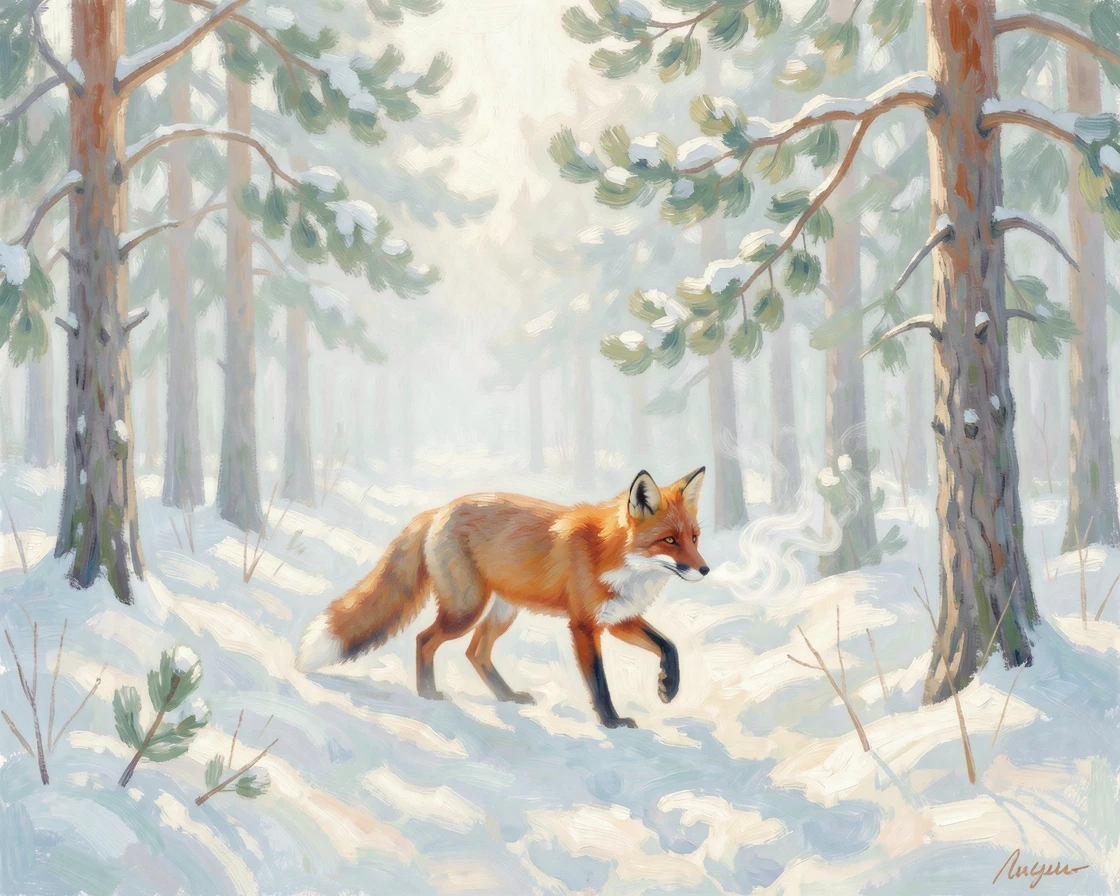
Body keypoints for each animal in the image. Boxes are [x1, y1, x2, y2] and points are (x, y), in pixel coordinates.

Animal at [297, 467, 709, 728]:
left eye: (694, 537)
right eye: (669, 540)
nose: (705, 570)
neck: (611, 555)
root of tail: (439, 510)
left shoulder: (618, 618)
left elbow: (668, 645)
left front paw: (668, 687)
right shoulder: (583, 625)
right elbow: (599, 681)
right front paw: (611, 721)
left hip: (501, 612)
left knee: (475, 653)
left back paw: (506, 697)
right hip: (466, 609)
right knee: (424, 639)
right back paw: (428, 693)